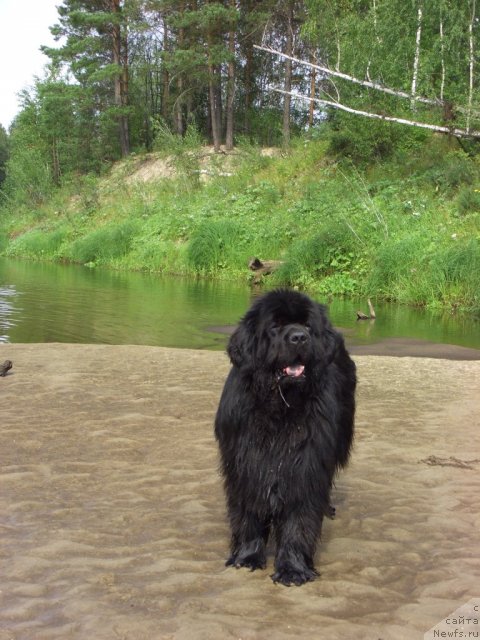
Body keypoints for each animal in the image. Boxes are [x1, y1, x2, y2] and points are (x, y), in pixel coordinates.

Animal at [215, 288, 356, 584]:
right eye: (275, 326)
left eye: (307, 326)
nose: (299, 337)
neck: (280, 408)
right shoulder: (246, 462)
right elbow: (248, 513)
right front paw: (247, 556)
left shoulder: (305, 465)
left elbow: (299, 520)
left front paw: (293, 568)